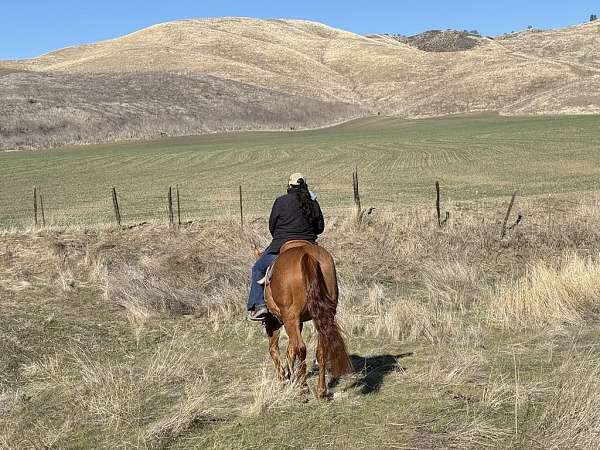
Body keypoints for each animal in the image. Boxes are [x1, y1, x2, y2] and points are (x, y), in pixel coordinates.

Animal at [258, 241, 350, 400]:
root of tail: (306, 253)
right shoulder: (297, 322)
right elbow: (289, 349)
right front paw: (289, 375)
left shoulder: (274, 322)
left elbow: (275, 349)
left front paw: (283, 378)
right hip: (324, 314)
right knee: (321, 349)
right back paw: (321, 390)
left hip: (290, 317)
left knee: (300, 347)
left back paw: (303, 388)